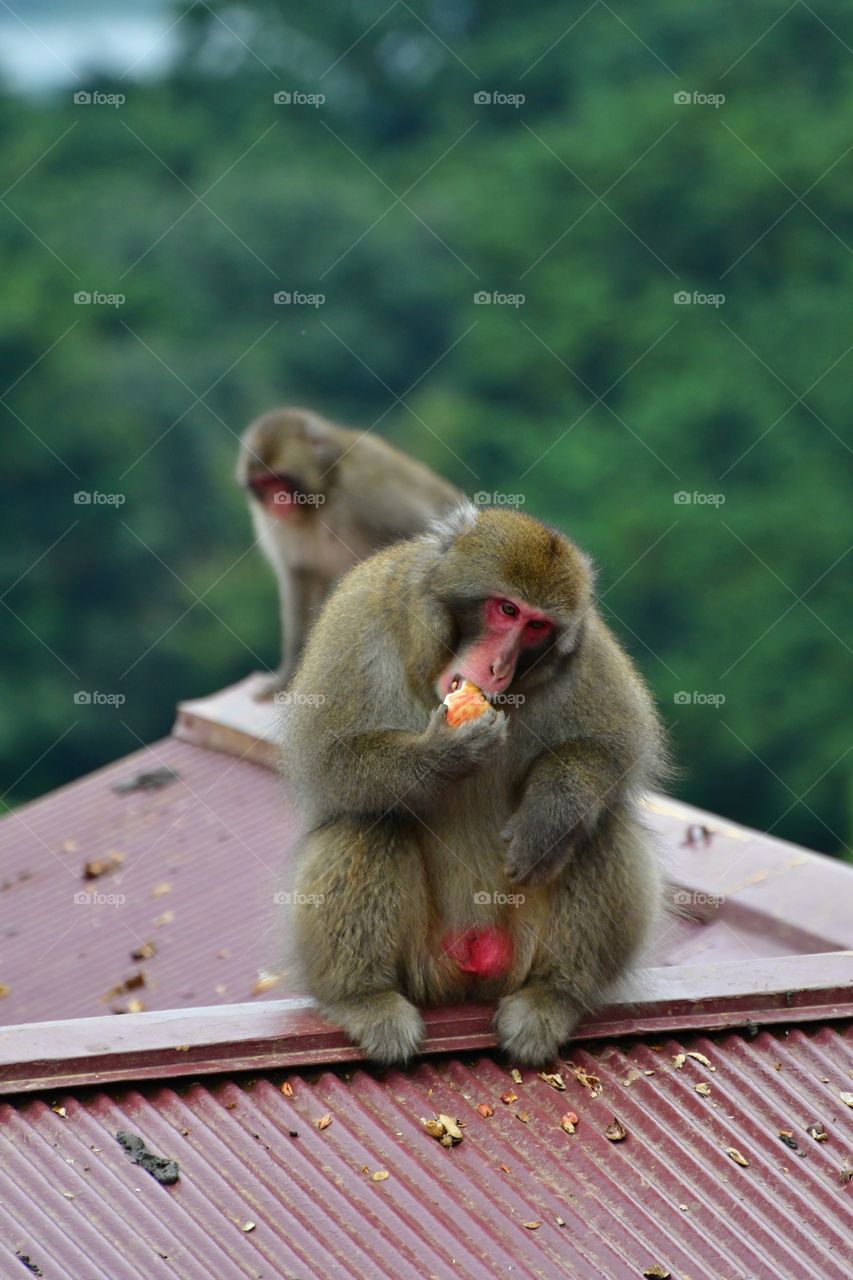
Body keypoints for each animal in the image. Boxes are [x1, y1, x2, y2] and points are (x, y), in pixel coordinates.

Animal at [235, 404, 461, 696]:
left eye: (278, 481)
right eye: (262, 484)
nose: (277, 503)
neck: (321, 496)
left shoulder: (364, 492)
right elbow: (300, 577)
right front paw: (285, 678)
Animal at [281, 504, 666, 1064]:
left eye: (536, 625)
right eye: (505, 610)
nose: (498, 665)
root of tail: (472, 963)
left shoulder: (588, 651)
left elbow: (614, 751)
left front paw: (551, 812)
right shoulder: (362, 611)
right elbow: (330, 758)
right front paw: (444, 755)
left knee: (600, 826)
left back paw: (555, 995)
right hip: (423, 962)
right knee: (368, 820)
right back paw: (363, 997)